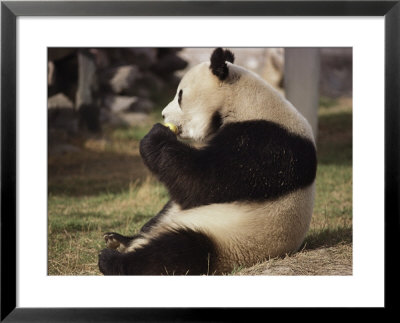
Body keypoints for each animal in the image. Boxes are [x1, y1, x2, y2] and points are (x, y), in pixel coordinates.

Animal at [98, 47, 318, 276]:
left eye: (180, 96)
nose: (163, 114)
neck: (246, 101)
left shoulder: (266, 145)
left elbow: (205, 183)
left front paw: (155, 136)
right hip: (176, 216)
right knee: (159, 221)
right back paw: (119, 240)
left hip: (229, 238)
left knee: (179, 251)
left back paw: (113, 260)